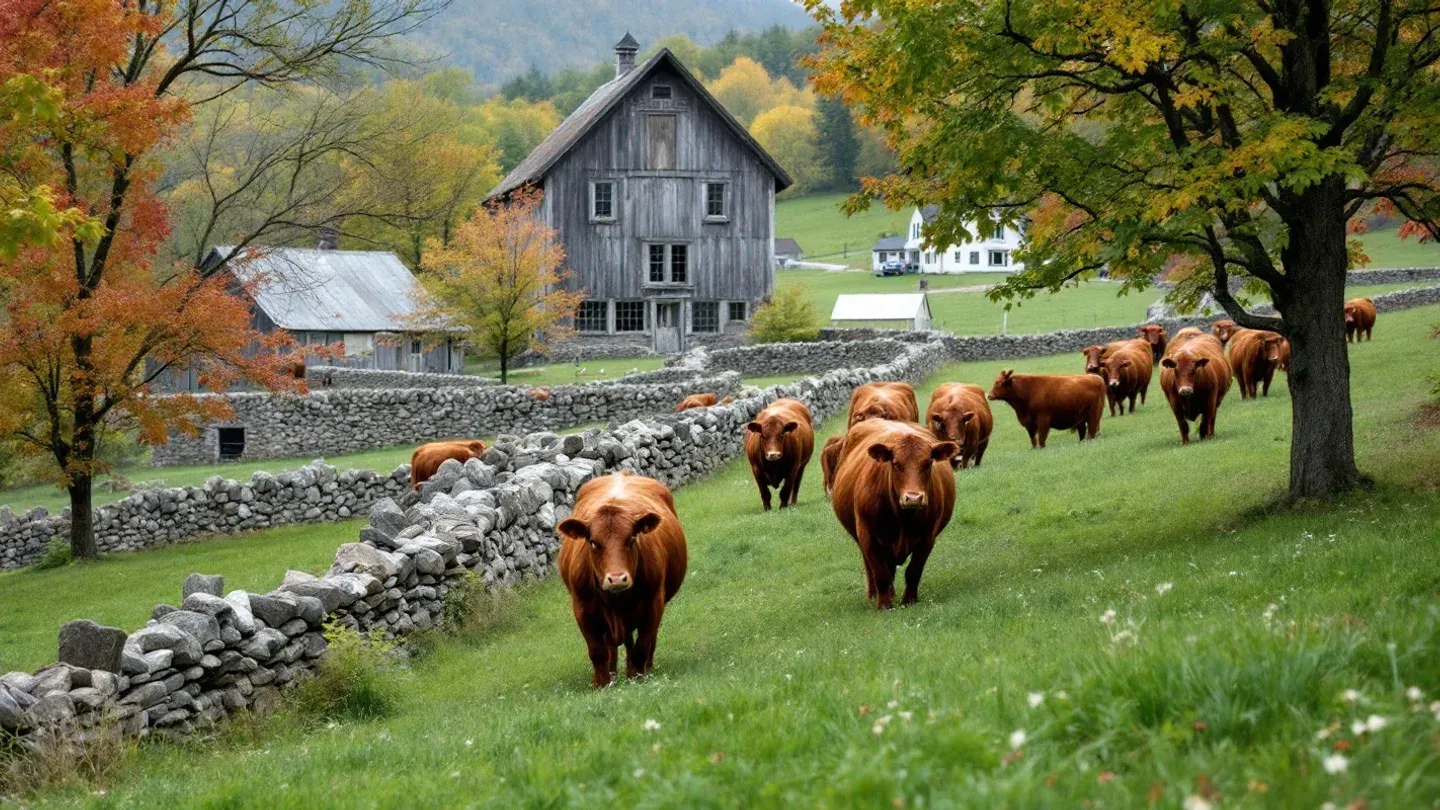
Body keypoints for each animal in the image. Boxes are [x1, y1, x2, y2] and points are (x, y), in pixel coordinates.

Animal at [557, 473, 688, 688]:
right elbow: (597, 652)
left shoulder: (653, 603)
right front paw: (601, 684)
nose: (617, 578)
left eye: (631, 539)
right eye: (593, 542)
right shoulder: (582, 609)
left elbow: (642, 646)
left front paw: (638, 677)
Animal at [830, 419, 957, 610]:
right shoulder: (867, 535)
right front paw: (884, 605)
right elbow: (879, 572)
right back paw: (875, 595)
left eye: (928, 463)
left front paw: (909, 600)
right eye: (896, 463)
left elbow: (914, 570)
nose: (913, 498)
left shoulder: (928, 535)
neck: (902, 519)